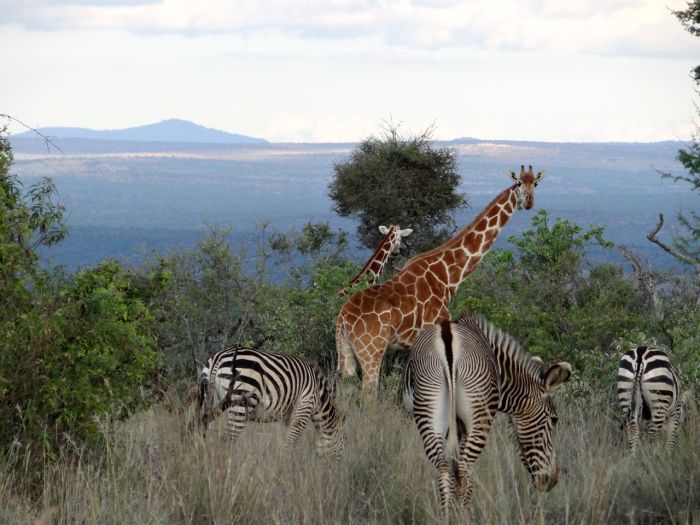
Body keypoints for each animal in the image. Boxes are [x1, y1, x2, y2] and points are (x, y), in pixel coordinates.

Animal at [196, 346, 346, 456]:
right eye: (341, 447)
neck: (319, 397)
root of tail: (218, 357)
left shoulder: (288, 416)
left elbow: (292, 441)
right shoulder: (304, 408)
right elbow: (290, 443)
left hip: (209, 399)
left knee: (204, 428)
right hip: (240, 403)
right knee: (229, 439)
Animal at [334, 164, 548, 392]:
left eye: (535, 183)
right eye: (518, 183)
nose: (529, 202)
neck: (447, 276)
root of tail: (342, 319)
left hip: (346, 353)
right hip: (371, 351)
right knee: (369, 391)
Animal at [402, 312, 572, 512]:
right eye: (554, 420)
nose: (551, 481)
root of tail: (448, 338)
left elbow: (452, 471)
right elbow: (459, 473)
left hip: (429, 411)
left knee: (443, 467)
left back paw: (446, 515)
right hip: (478, 418)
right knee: (464, 470)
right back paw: (464, 515)